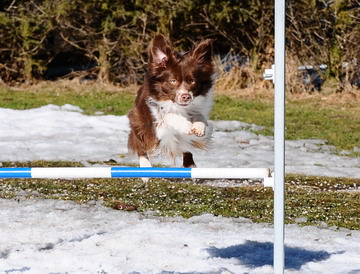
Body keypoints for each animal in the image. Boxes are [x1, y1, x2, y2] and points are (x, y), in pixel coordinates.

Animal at [128, 34, 215, 169]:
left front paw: (198, 127)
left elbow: (199, 116)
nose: (186, 96)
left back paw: (190, 165)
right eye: (173, 81)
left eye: (192, 81)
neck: (178, 106)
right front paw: (186, 125)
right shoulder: (155, 123)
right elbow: (167, 116)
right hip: (138, 120)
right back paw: (145, 167)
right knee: (141, 145)